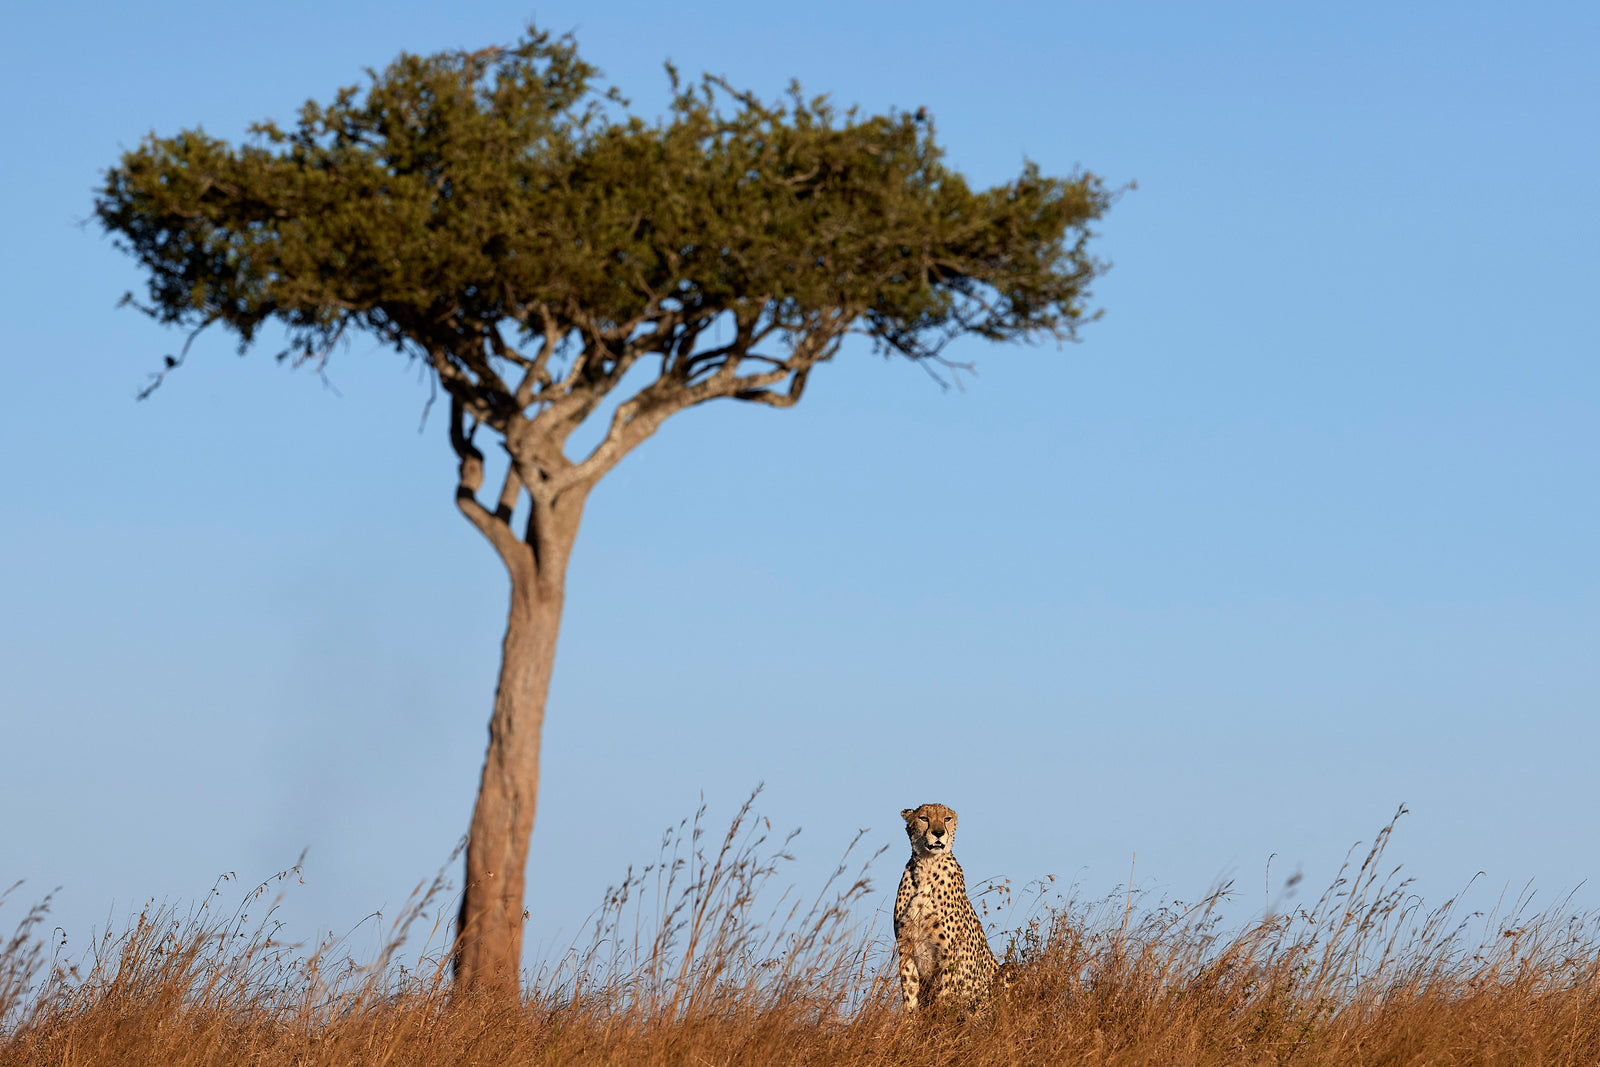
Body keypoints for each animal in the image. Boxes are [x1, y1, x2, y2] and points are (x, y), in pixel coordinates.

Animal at [893, 803, 1014, 1015]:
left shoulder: (948, 953)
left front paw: (940, 1024)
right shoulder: (905, 947)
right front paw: (909, 1023)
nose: (938, 832)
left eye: (947, 819)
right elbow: (909, 993)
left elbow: (943, 995)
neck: (927, 865)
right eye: (924, 818)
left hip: (1007, 969)